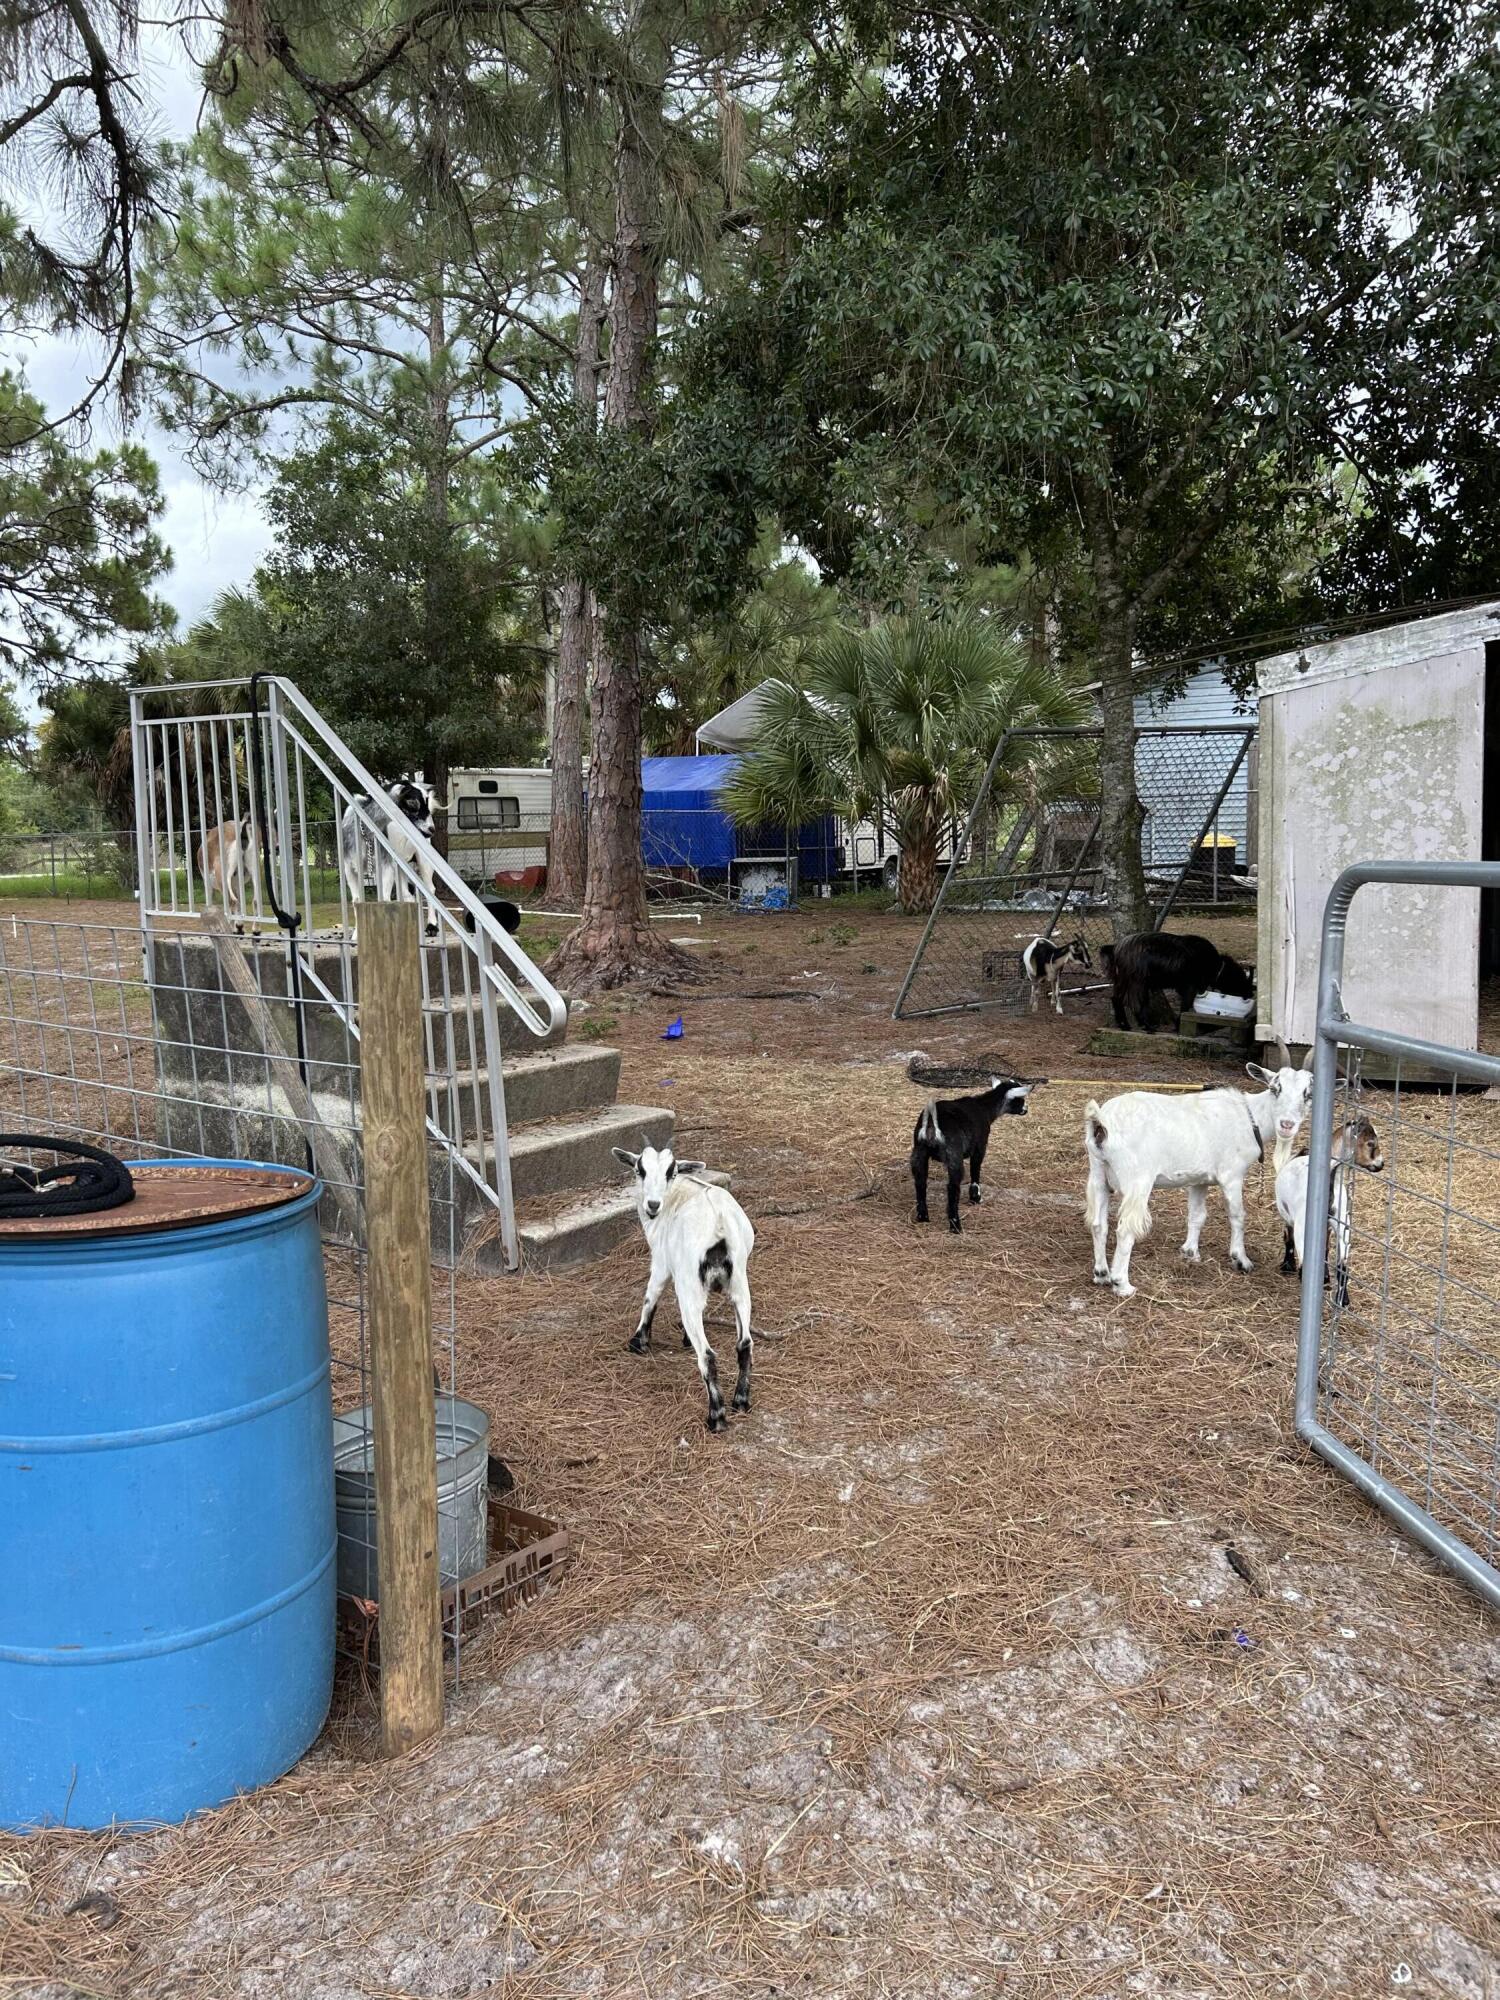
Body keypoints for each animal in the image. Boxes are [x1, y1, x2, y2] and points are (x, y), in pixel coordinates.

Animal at [612, 1144, 756, 1440]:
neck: (677, 1194)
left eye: (670, 1172)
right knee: (745, 1343)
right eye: (640, 1169)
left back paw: (716, 1417)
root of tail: (719, 1227)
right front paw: (685, 1338)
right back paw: (740, 1401)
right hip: (740, 1283)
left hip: (689, 1285)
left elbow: (651, 1295)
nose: (652, 1205)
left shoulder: (662, 1262)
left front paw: (638, 1341)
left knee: (708, 1356)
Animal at [912, 1080, 1040, 1232]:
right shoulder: (980, 1146)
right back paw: (955, 1226)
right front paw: (975, 1197)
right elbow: (975, 1169)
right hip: (953, 1155)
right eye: (1020, 1099)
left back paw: (923, 1217)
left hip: (919, 1152)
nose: (1026, 1109)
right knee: (952, 1187)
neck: (984, 1108)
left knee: (920, 1182)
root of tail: (932, 1125)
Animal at [1088, 1048, 1320, 1296]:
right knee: (1125, 1229)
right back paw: (1122, 1284)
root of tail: (1101, 1122)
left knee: (1098, 1224)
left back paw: (1101, 1274)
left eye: (1307, 1094)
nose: (1287, 1125)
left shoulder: (1199, 1179)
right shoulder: (1232, 1175)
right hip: (1137, 1180)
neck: (1251, 1118)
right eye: (1276, 1088)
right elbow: (1238, 1216)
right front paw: (1241, 1260)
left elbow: (1197, 1215)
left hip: (1098, 1173)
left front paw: (1190, 1252)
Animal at [1104, 932, 1256, 1032]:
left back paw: (1125, 1025)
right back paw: (1147, 1027)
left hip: (1123, 980)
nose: (1249, 995)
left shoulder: (1182, 987)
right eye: (1241, 983)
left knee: (1116, 998)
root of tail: (1115, 948)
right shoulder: (1190, 986)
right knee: (1135, 1002)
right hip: (1137, 981)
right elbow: (1185, 1006)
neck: (1215, 966)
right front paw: (1178, 1027)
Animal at [1272, 1112, 1392, 1312]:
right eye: (1370, 1143)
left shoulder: (1291, 1216)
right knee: (1341, 1266)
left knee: (1307, 1264)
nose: (1380, 1164)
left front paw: (1288, 1265)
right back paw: (1342, 1300)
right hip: (1341, 1228)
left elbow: (1290, 1238)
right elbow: (1325, 1249)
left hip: (1305, 1228)